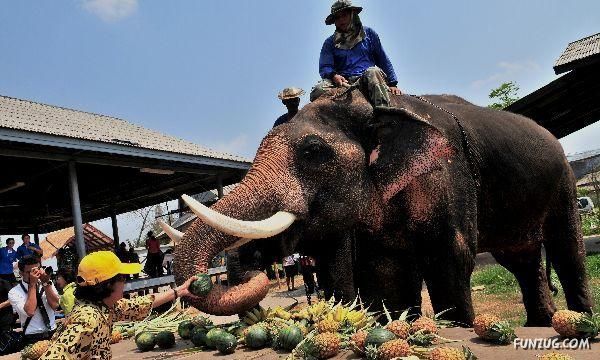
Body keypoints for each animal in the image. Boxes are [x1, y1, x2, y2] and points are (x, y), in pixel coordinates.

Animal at [166, 86, 592, 326]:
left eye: (313, 152)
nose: (256, 272)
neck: (376, 107)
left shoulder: (448, 175)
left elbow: (450, 258)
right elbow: (385, 272)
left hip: (563, 180)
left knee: (566, 248)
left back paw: (579, 323)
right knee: (521, 258)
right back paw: (542, 324)